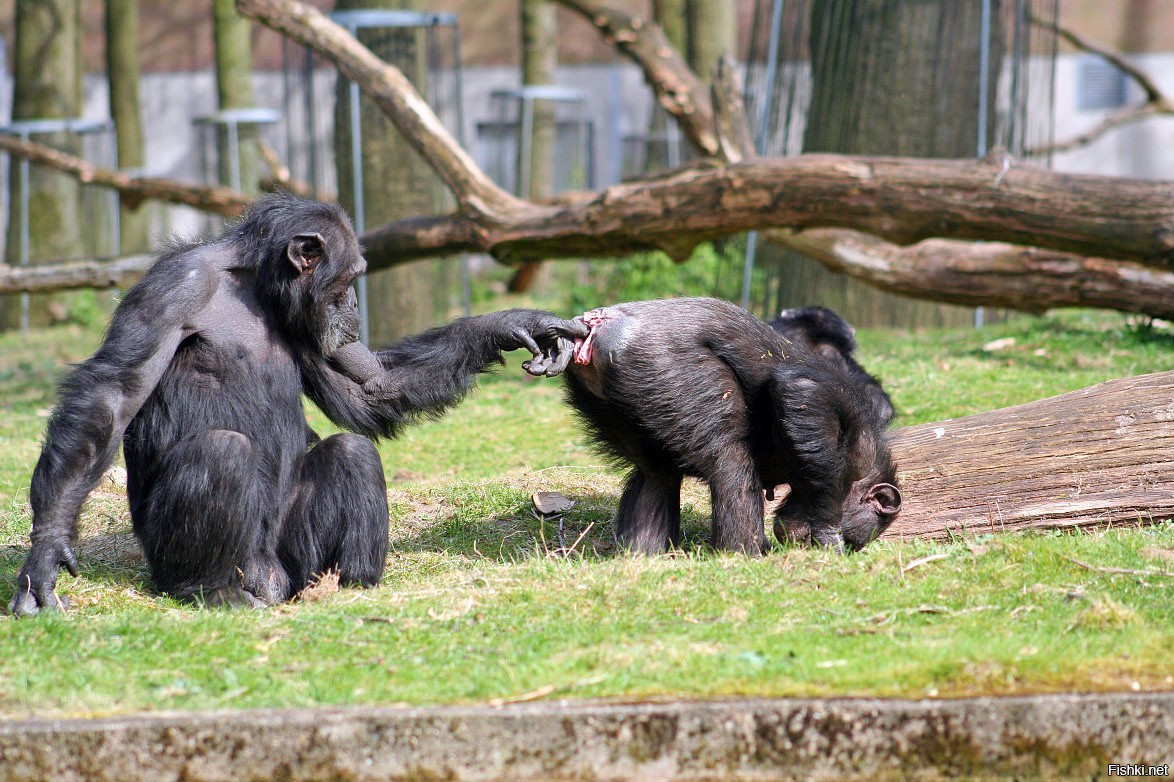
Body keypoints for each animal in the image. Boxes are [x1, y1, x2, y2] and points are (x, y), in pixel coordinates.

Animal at [6, 191, 579, 610]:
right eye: (349, 279)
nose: (354, 308)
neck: (254, 284)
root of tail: (272, 579)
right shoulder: (171, 290)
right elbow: (113, 395)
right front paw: (46, 555)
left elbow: (373, 387)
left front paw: (513, 324)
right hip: (194, 559)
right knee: (221, 451)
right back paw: (213, 590)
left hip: (291, 554)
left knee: (352, 452)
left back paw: (348, 584)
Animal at [558, 293, 896, 554]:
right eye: (852, 542)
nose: (804, 546)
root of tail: (597, 326)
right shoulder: (849, 411)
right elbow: (802, 390)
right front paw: (827, 532)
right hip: (667, 367)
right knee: (729, 460)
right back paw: (745, 552)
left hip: (609, 396)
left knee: (656, 473)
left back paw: (643, 553)